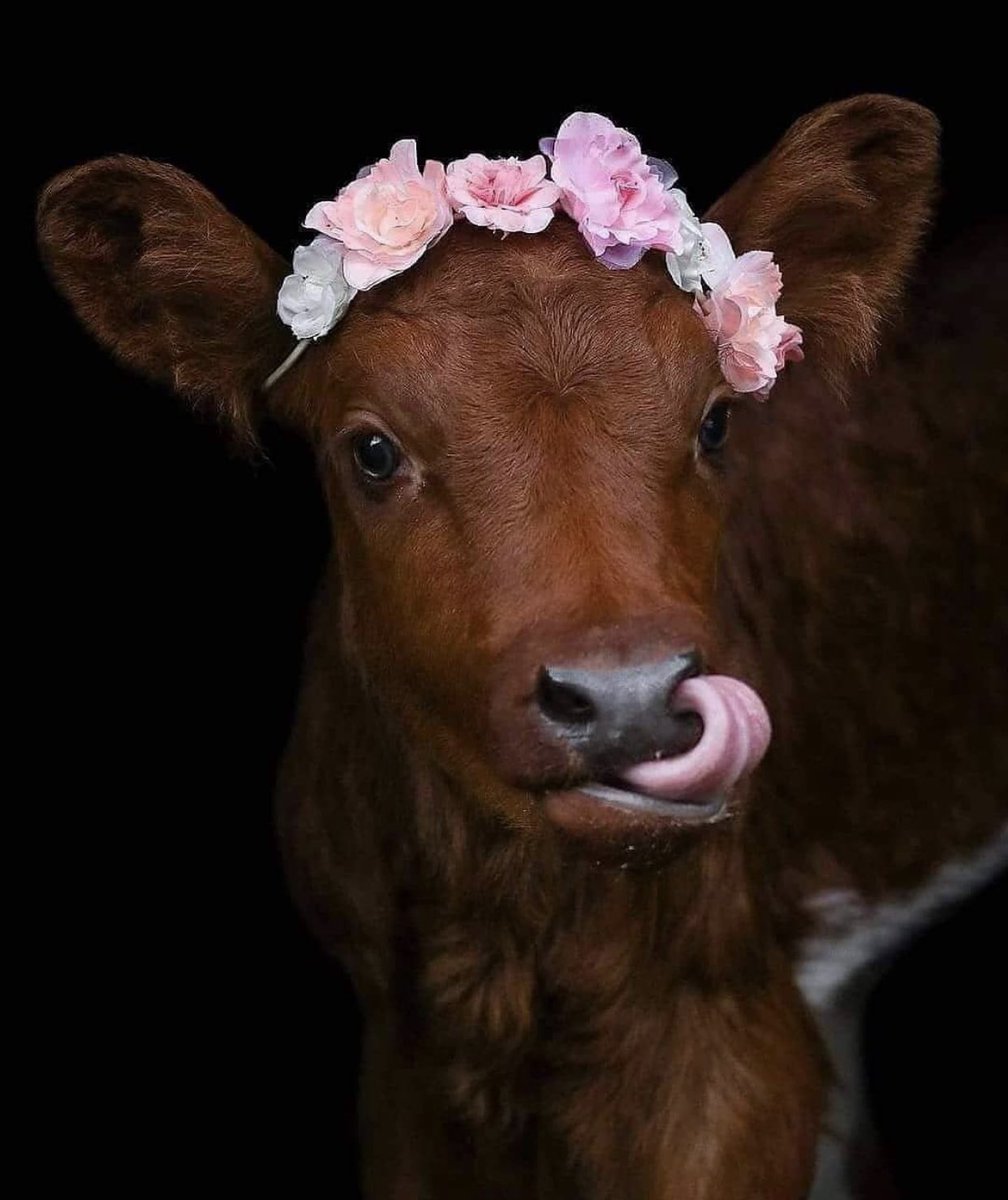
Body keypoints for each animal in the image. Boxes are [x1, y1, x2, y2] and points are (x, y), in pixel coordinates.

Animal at [37, 95, 1008, 1198]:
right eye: (373, 450)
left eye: (717, 422)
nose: (628, 697)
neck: (510, 948)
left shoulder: (733, 1065)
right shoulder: (403, 1069)